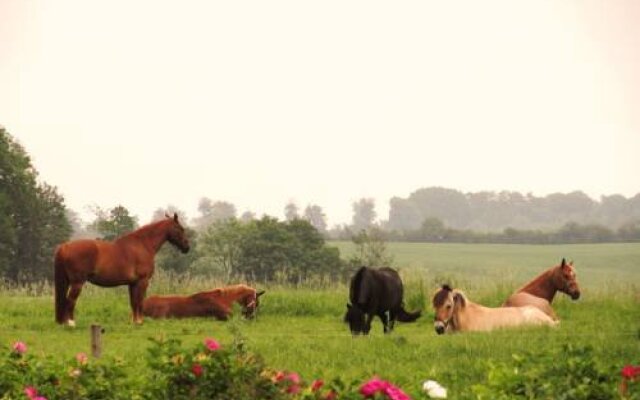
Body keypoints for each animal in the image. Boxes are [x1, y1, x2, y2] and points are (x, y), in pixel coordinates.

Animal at [53, 212, 189, 324]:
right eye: (180, 229)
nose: (187, 247)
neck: (142, 245)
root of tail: (65, 246)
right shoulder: (142, 281)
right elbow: (140, 301)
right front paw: (140, 321)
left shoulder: (132, 283)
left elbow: (133, 302)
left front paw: (135, 322)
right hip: (77, 283)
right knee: (70, 301)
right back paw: (71, 323)